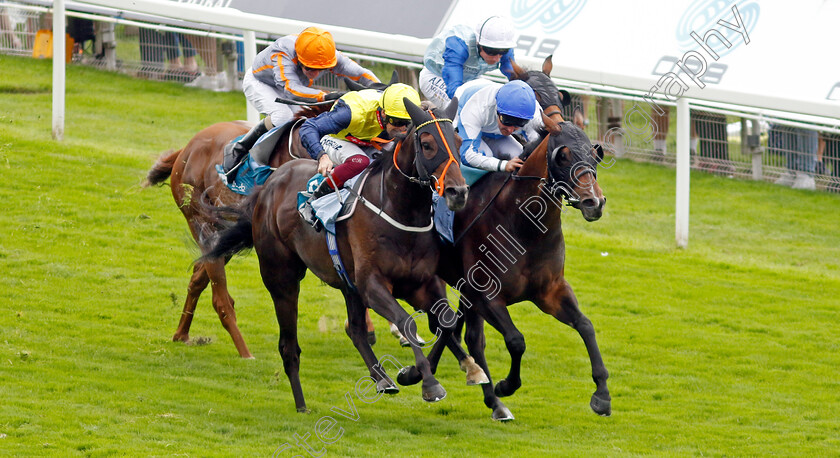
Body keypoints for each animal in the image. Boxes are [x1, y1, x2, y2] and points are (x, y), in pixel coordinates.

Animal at [143, 109, 324, 360]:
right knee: (219, 298)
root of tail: (187, 148)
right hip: (202, 221)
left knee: (198, 278)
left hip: (226, 233)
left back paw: (182, 334)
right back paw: (245, 353)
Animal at [203, 99, 480, 412]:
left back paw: (382, 379)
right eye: (427, 144)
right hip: (282, 278)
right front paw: (430, 383)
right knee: (289, 345)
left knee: (356, 330)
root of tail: (270, 183)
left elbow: (446, 321)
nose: (459, 192)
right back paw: (301, 404)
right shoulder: (373, 285)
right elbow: (407, 322)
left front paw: (450, 369)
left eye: (459, 142)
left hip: (348, 282)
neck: (398, 209)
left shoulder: (420, 283)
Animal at [402, 121, 612, 418]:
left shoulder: (550, 291)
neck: (524, 228)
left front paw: (602, 394)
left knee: (461, 332)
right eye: (563, 156)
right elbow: (515, 340)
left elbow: (585, 325)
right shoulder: (486, 296)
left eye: (595, 155)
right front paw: (505, 385)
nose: (594, 202)